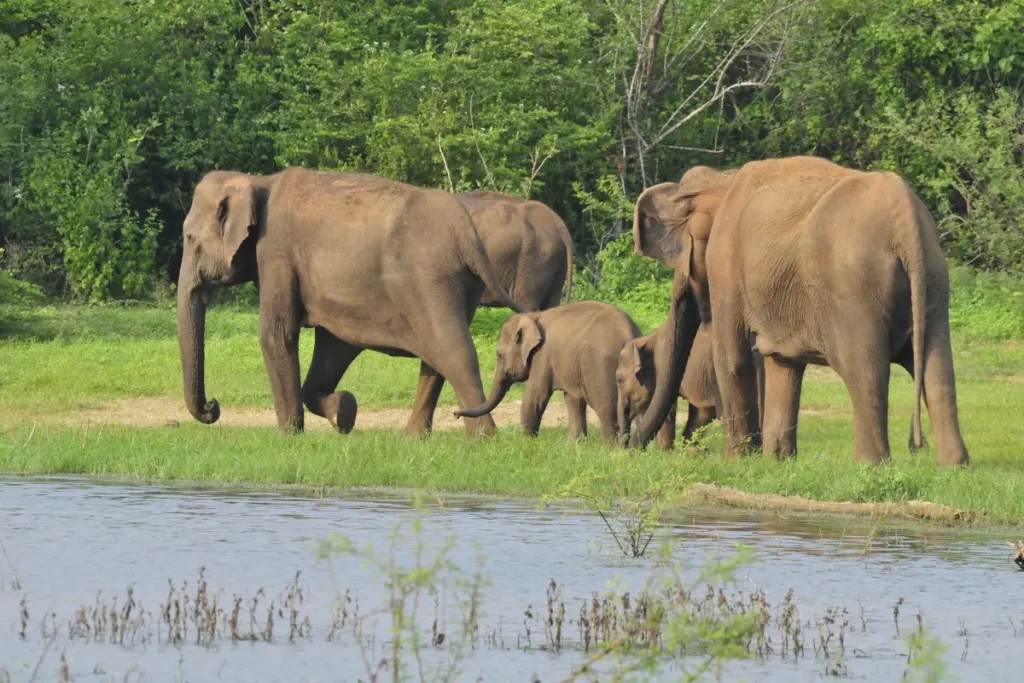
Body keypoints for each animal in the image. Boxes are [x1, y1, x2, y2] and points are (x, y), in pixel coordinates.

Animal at [177, 167, 525, 437]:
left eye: (190, 239)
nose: (213, 406)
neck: (259, 180)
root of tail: (467, 235)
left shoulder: (275, 252)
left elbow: (277, 334)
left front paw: (289, 435)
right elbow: (335, 344)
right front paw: (343, 412)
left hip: (430, 281)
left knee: (453, 351)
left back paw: (482, 437)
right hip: (461, 285)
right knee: (436, 357)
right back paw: (413, 438)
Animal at [453, 301, 641, 443]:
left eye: (499, 354)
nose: (455, 414)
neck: (533, 316)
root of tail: (627, 332)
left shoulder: (542, 355)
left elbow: (534, 395)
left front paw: (526, 444)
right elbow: (573, 400)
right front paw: (574, 445)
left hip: (601, 365)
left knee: (606, 408)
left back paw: (610, 448)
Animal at [617, 322, 765, 450]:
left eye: (619, 380)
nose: (624, 442)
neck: (647, 339)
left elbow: (669, 412)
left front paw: (665, 453)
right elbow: (700, 413)